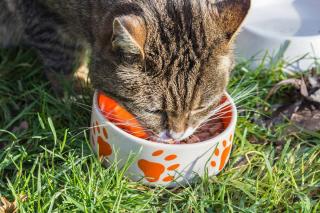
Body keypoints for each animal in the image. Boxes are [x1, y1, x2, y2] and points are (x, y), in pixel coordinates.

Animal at [0, 0, 250, 141]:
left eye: (200, 107)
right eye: (154, 111)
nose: (177, 135)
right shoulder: (42, 14)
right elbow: (63, 55)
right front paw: (74, 92)